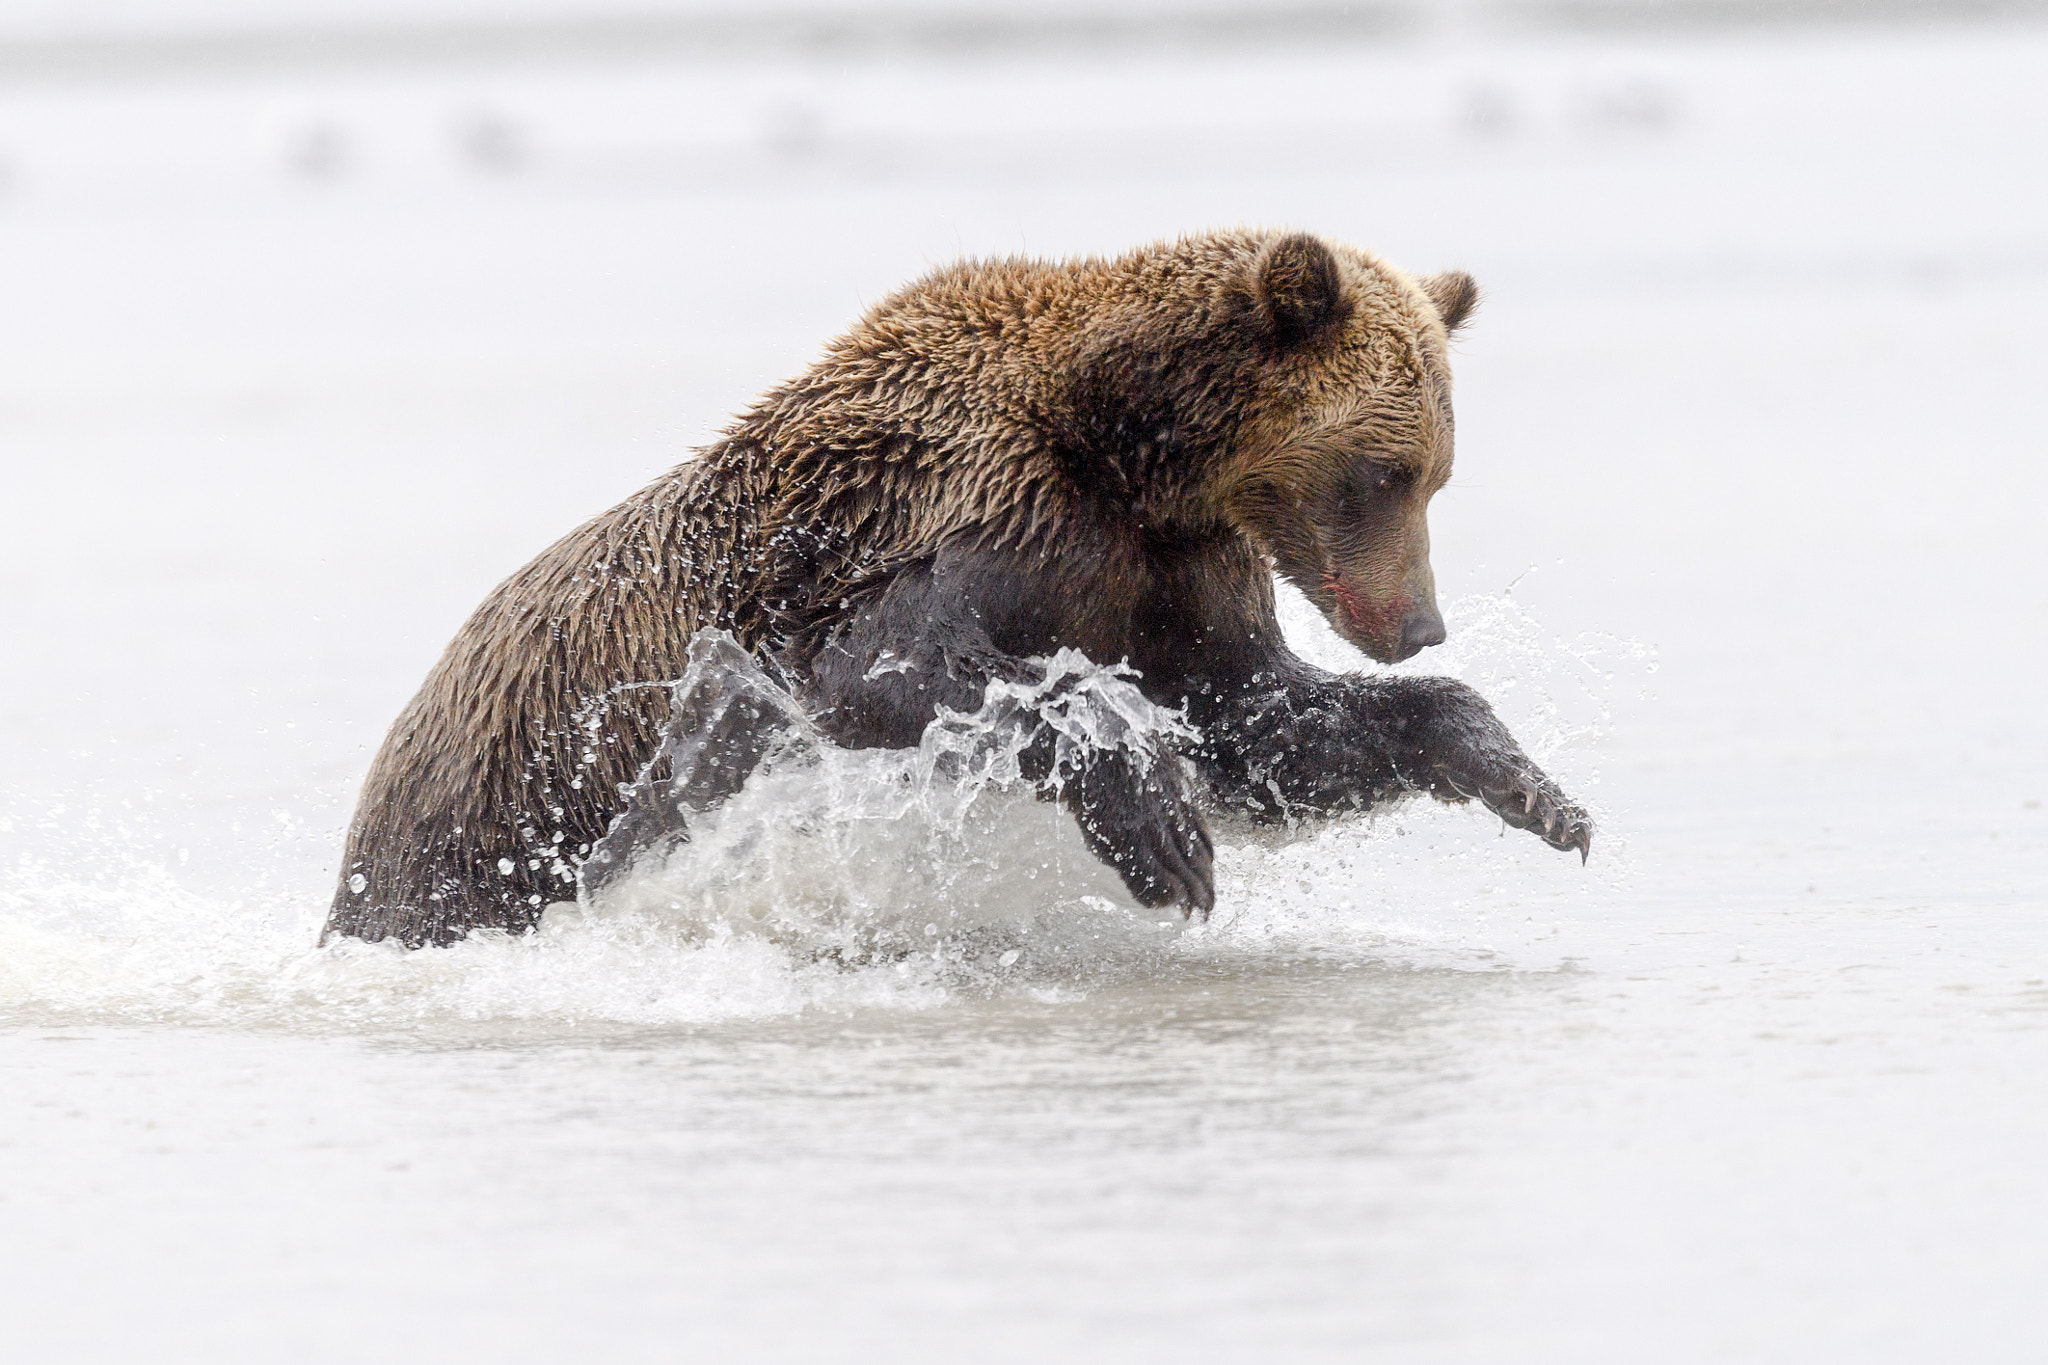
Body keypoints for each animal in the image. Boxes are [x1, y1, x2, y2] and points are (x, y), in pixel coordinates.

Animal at [327, 227, 1589, 949]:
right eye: (1381, 473)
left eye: (1435, 471)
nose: (1415, 623)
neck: (1121, 450)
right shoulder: (932, 513)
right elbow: (896, 671)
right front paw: (1162, 831)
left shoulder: (1170, 577)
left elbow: (1257, 724)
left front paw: (1535, 791)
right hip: (499, 807)